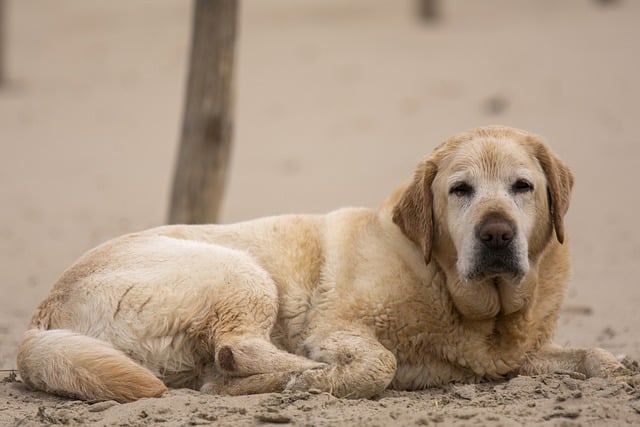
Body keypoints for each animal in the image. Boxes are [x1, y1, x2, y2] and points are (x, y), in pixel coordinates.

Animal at [17, 125, 628, 402]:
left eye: (523, 187)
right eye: (460, 190)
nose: (497, 233)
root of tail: (38, 317)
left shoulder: (518, 354)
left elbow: (589, 355)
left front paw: (615, 365)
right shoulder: (337, 326)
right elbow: (379, 361)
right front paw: (326, 374)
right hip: (240, 272)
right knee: (237, 347)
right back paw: (277, 378)